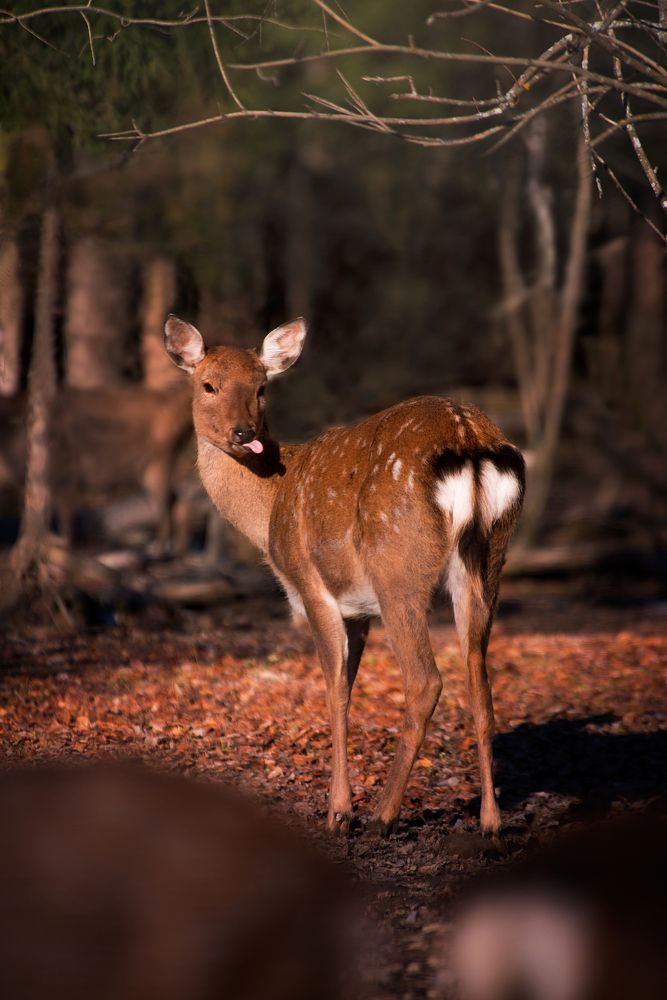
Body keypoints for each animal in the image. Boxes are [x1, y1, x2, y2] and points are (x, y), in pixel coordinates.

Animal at [164, 315, 525, 836]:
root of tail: (470, 441)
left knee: (425, 681)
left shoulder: (311, 586)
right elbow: (349, 686)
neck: (268, 507)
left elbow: (334, 689)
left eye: (262, 387)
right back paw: (491, 824)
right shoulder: (359, 611)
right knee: (481, 682)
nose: (243, 432)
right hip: (488, 561)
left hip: (398, 567)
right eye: (208, 384)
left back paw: (383, 815)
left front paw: (338, 811)